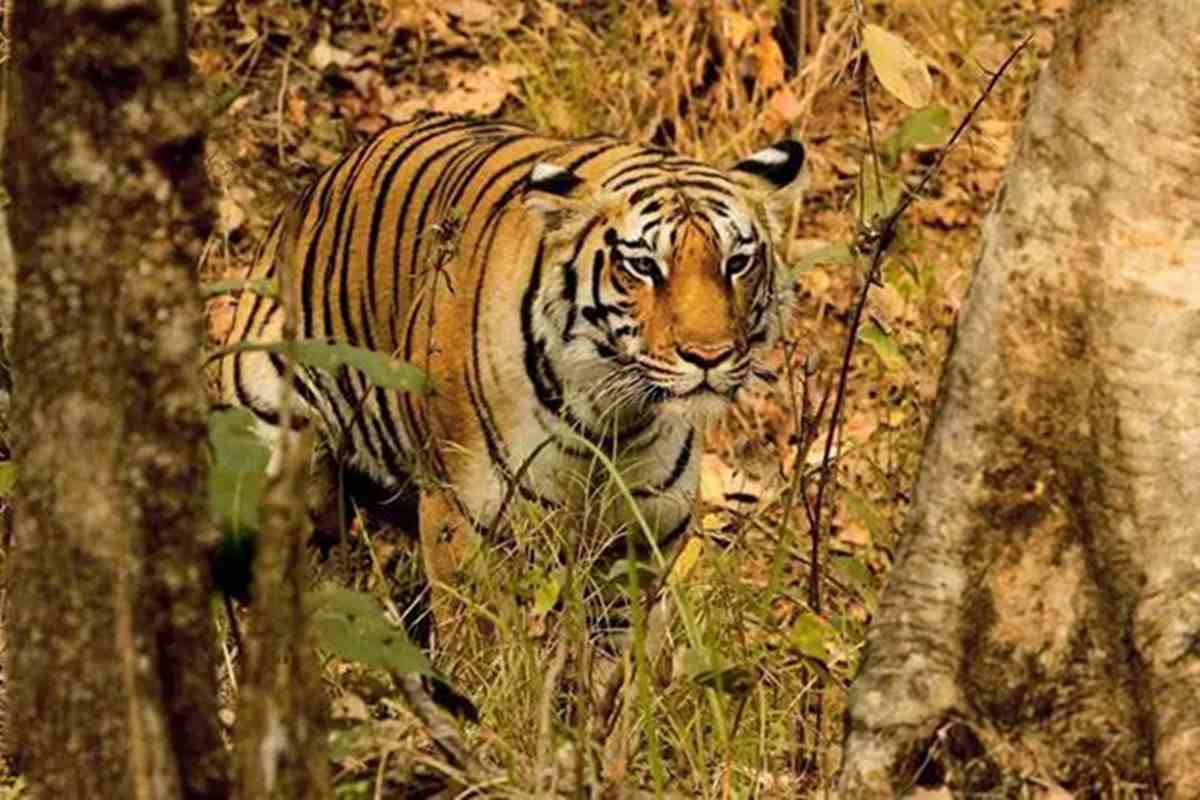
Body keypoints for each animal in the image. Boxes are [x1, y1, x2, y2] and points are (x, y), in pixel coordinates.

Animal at [213, 112, 805, 622]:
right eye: (642, 265)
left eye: (737, 262)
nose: (710, 356)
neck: (614, 419)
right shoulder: (461, 517)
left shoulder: (642, 539)